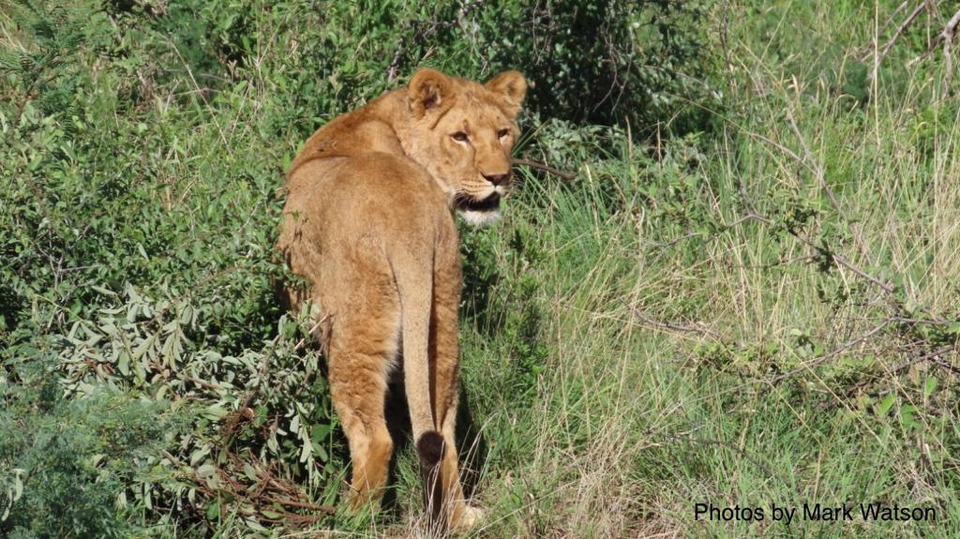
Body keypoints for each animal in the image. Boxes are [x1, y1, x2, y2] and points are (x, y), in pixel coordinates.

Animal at [274, 66, 528, 532]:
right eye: (461, 136)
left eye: (502, 133)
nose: (499, 177)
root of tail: (408, 223)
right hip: (441, 319)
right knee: (442, 433)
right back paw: (460, 519)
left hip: (355, 328)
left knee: (374, 437)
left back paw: (349, 520)